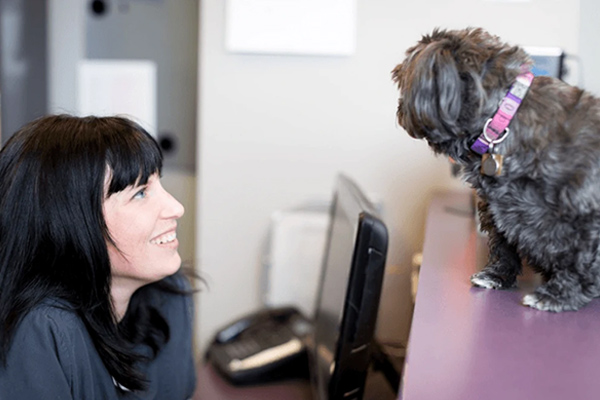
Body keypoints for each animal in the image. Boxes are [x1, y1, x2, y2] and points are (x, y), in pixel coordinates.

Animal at [392, 28, 600, 312]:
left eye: (401, 78)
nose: (400, 109)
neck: (502, 123)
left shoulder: (585, 215)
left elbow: (577, 259)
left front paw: (559, 295)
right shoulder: (498, 208)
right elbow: (503, 246)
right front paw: (496, 275)